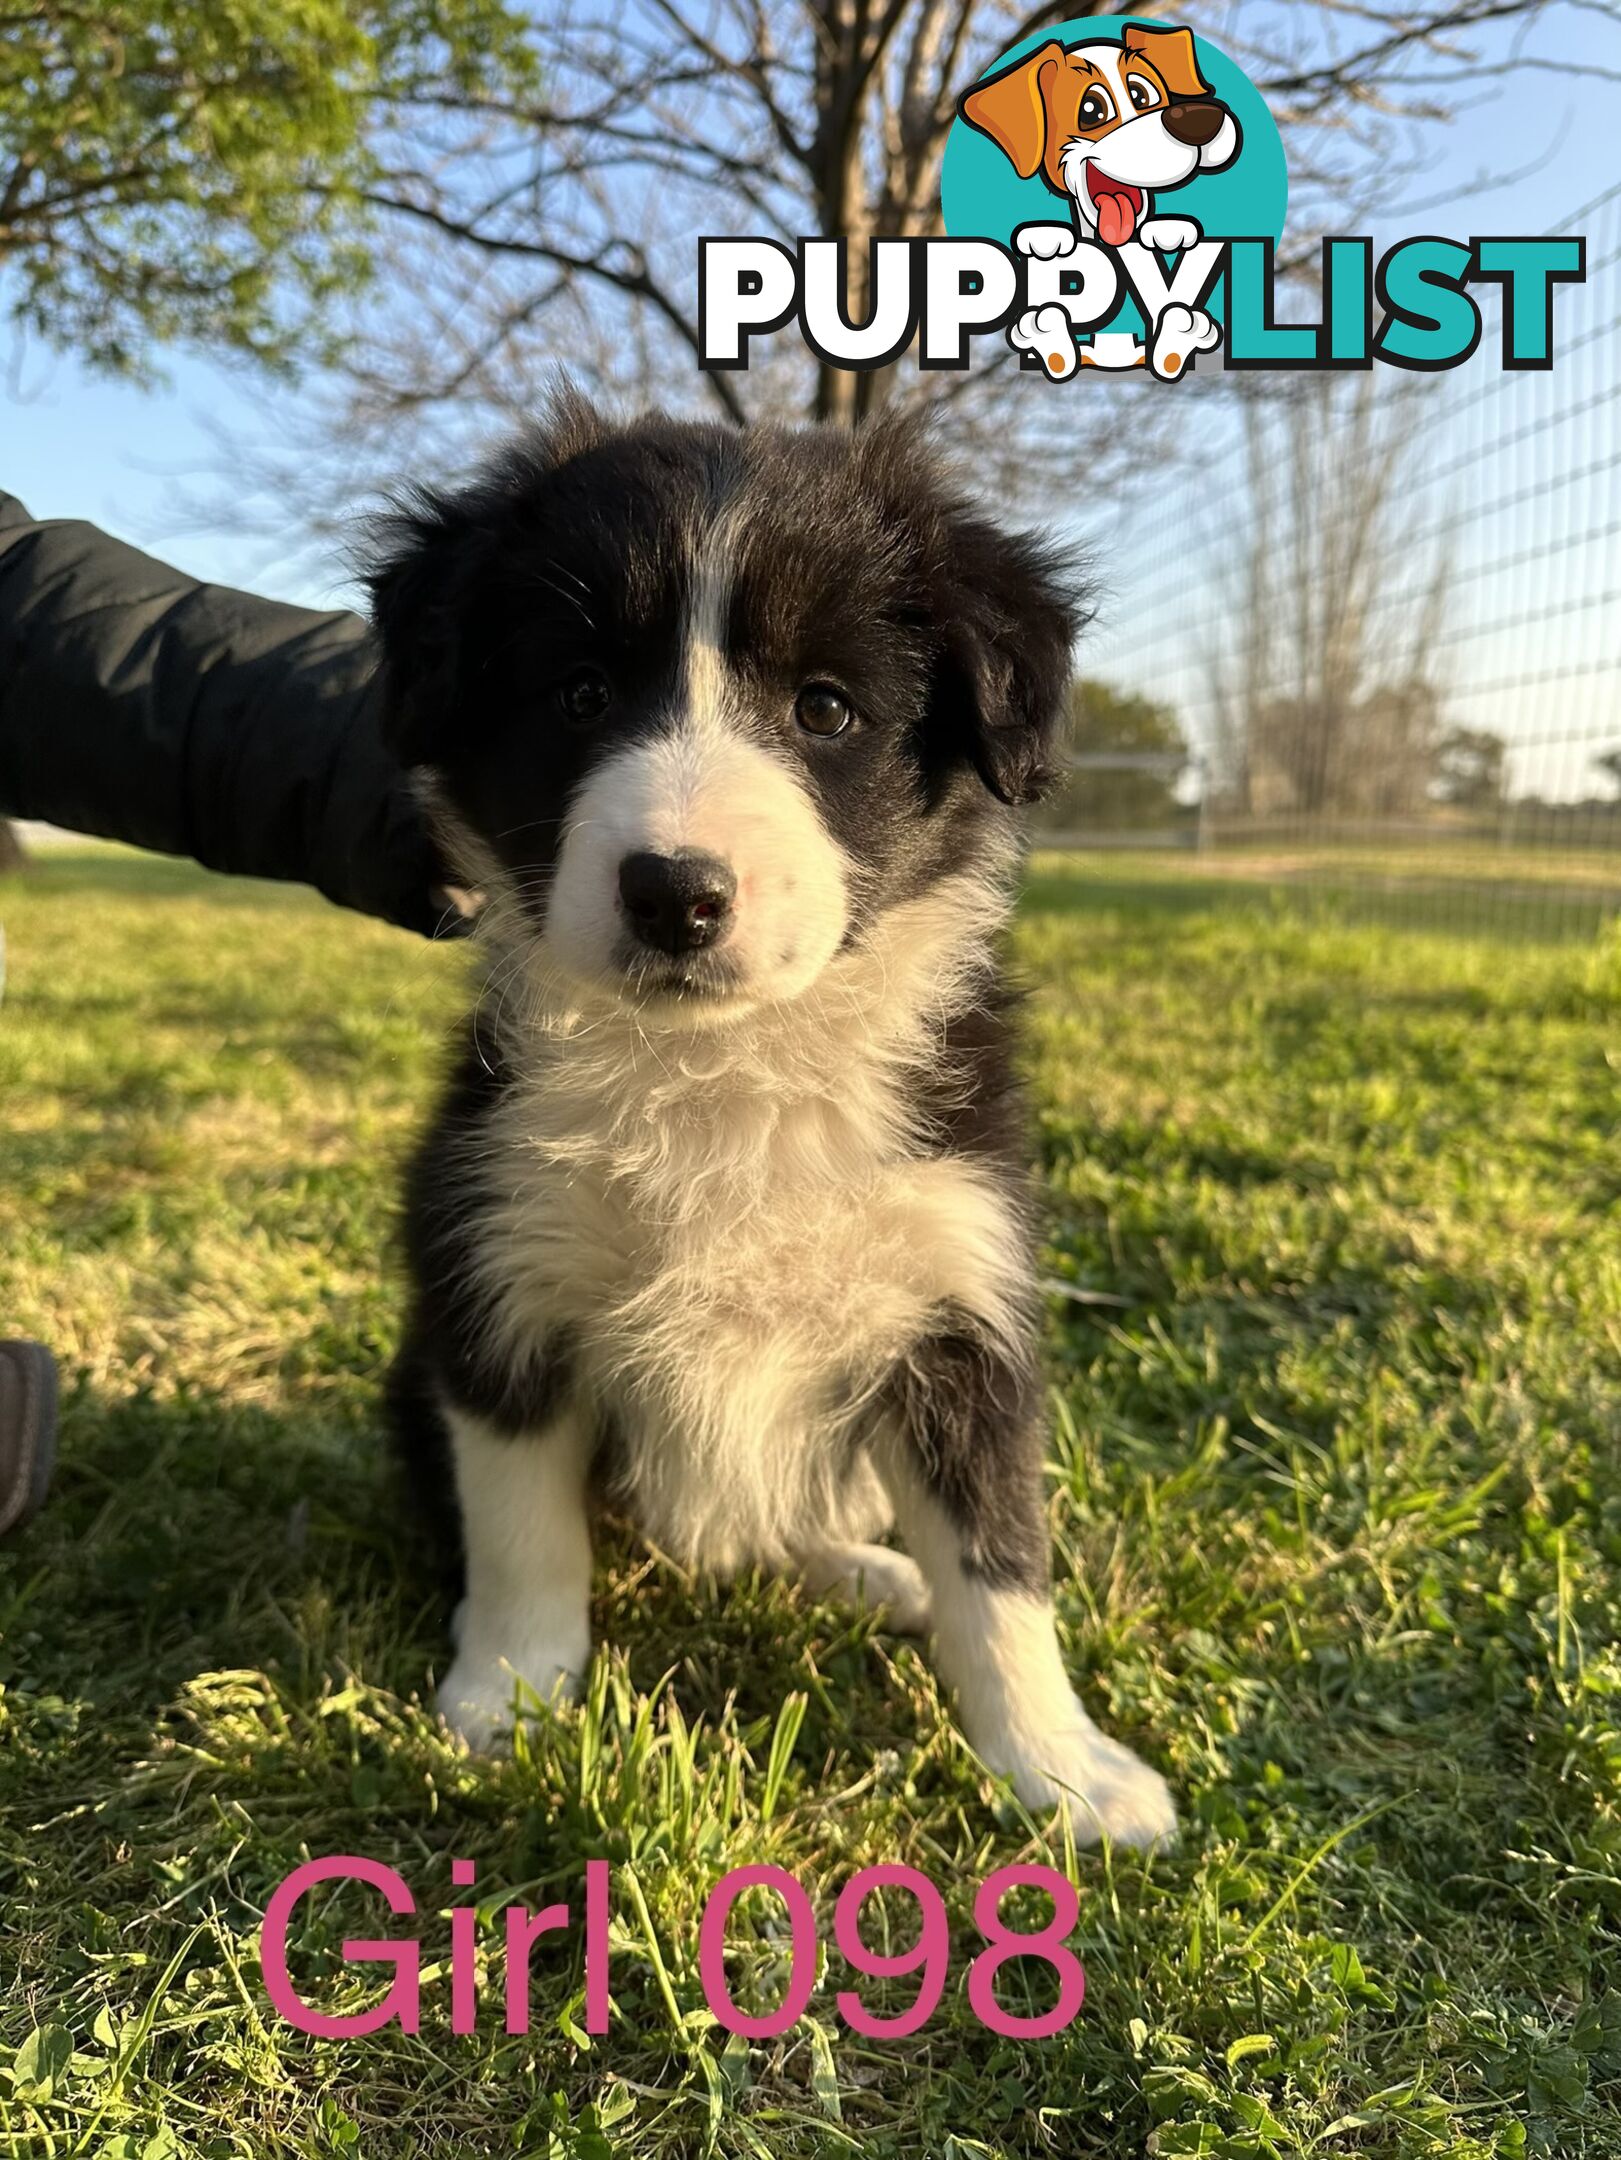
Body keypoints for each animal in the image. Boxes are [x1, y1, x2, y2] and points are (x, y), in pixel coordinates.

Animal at [369, 388, 1184, 1840]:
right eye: (579, 694)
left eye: (825, 708)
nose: (675, 894)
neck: (725, 1069)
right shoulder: (496, 1273)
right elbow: (521, 1523)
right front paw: (509, 1695)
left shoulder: (957, 1298)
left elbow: (1001, 1563)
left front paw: (1061, 1766)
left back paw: (873, 1574)